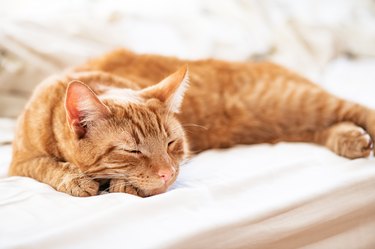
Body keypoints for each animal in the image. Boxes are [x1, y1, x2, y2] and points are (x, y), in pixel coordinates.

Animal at [8, 48, 375, 196]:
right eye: (132, 150)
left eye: (171, 143)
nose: (167, 172)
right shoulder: (20, 162)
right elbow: (44, 165)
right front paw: (74, 178)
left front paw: (124, 185)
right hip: (292, 123)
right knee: (326, 127)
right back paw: (349, 139)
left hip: (299, 103)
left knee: (356, 108)